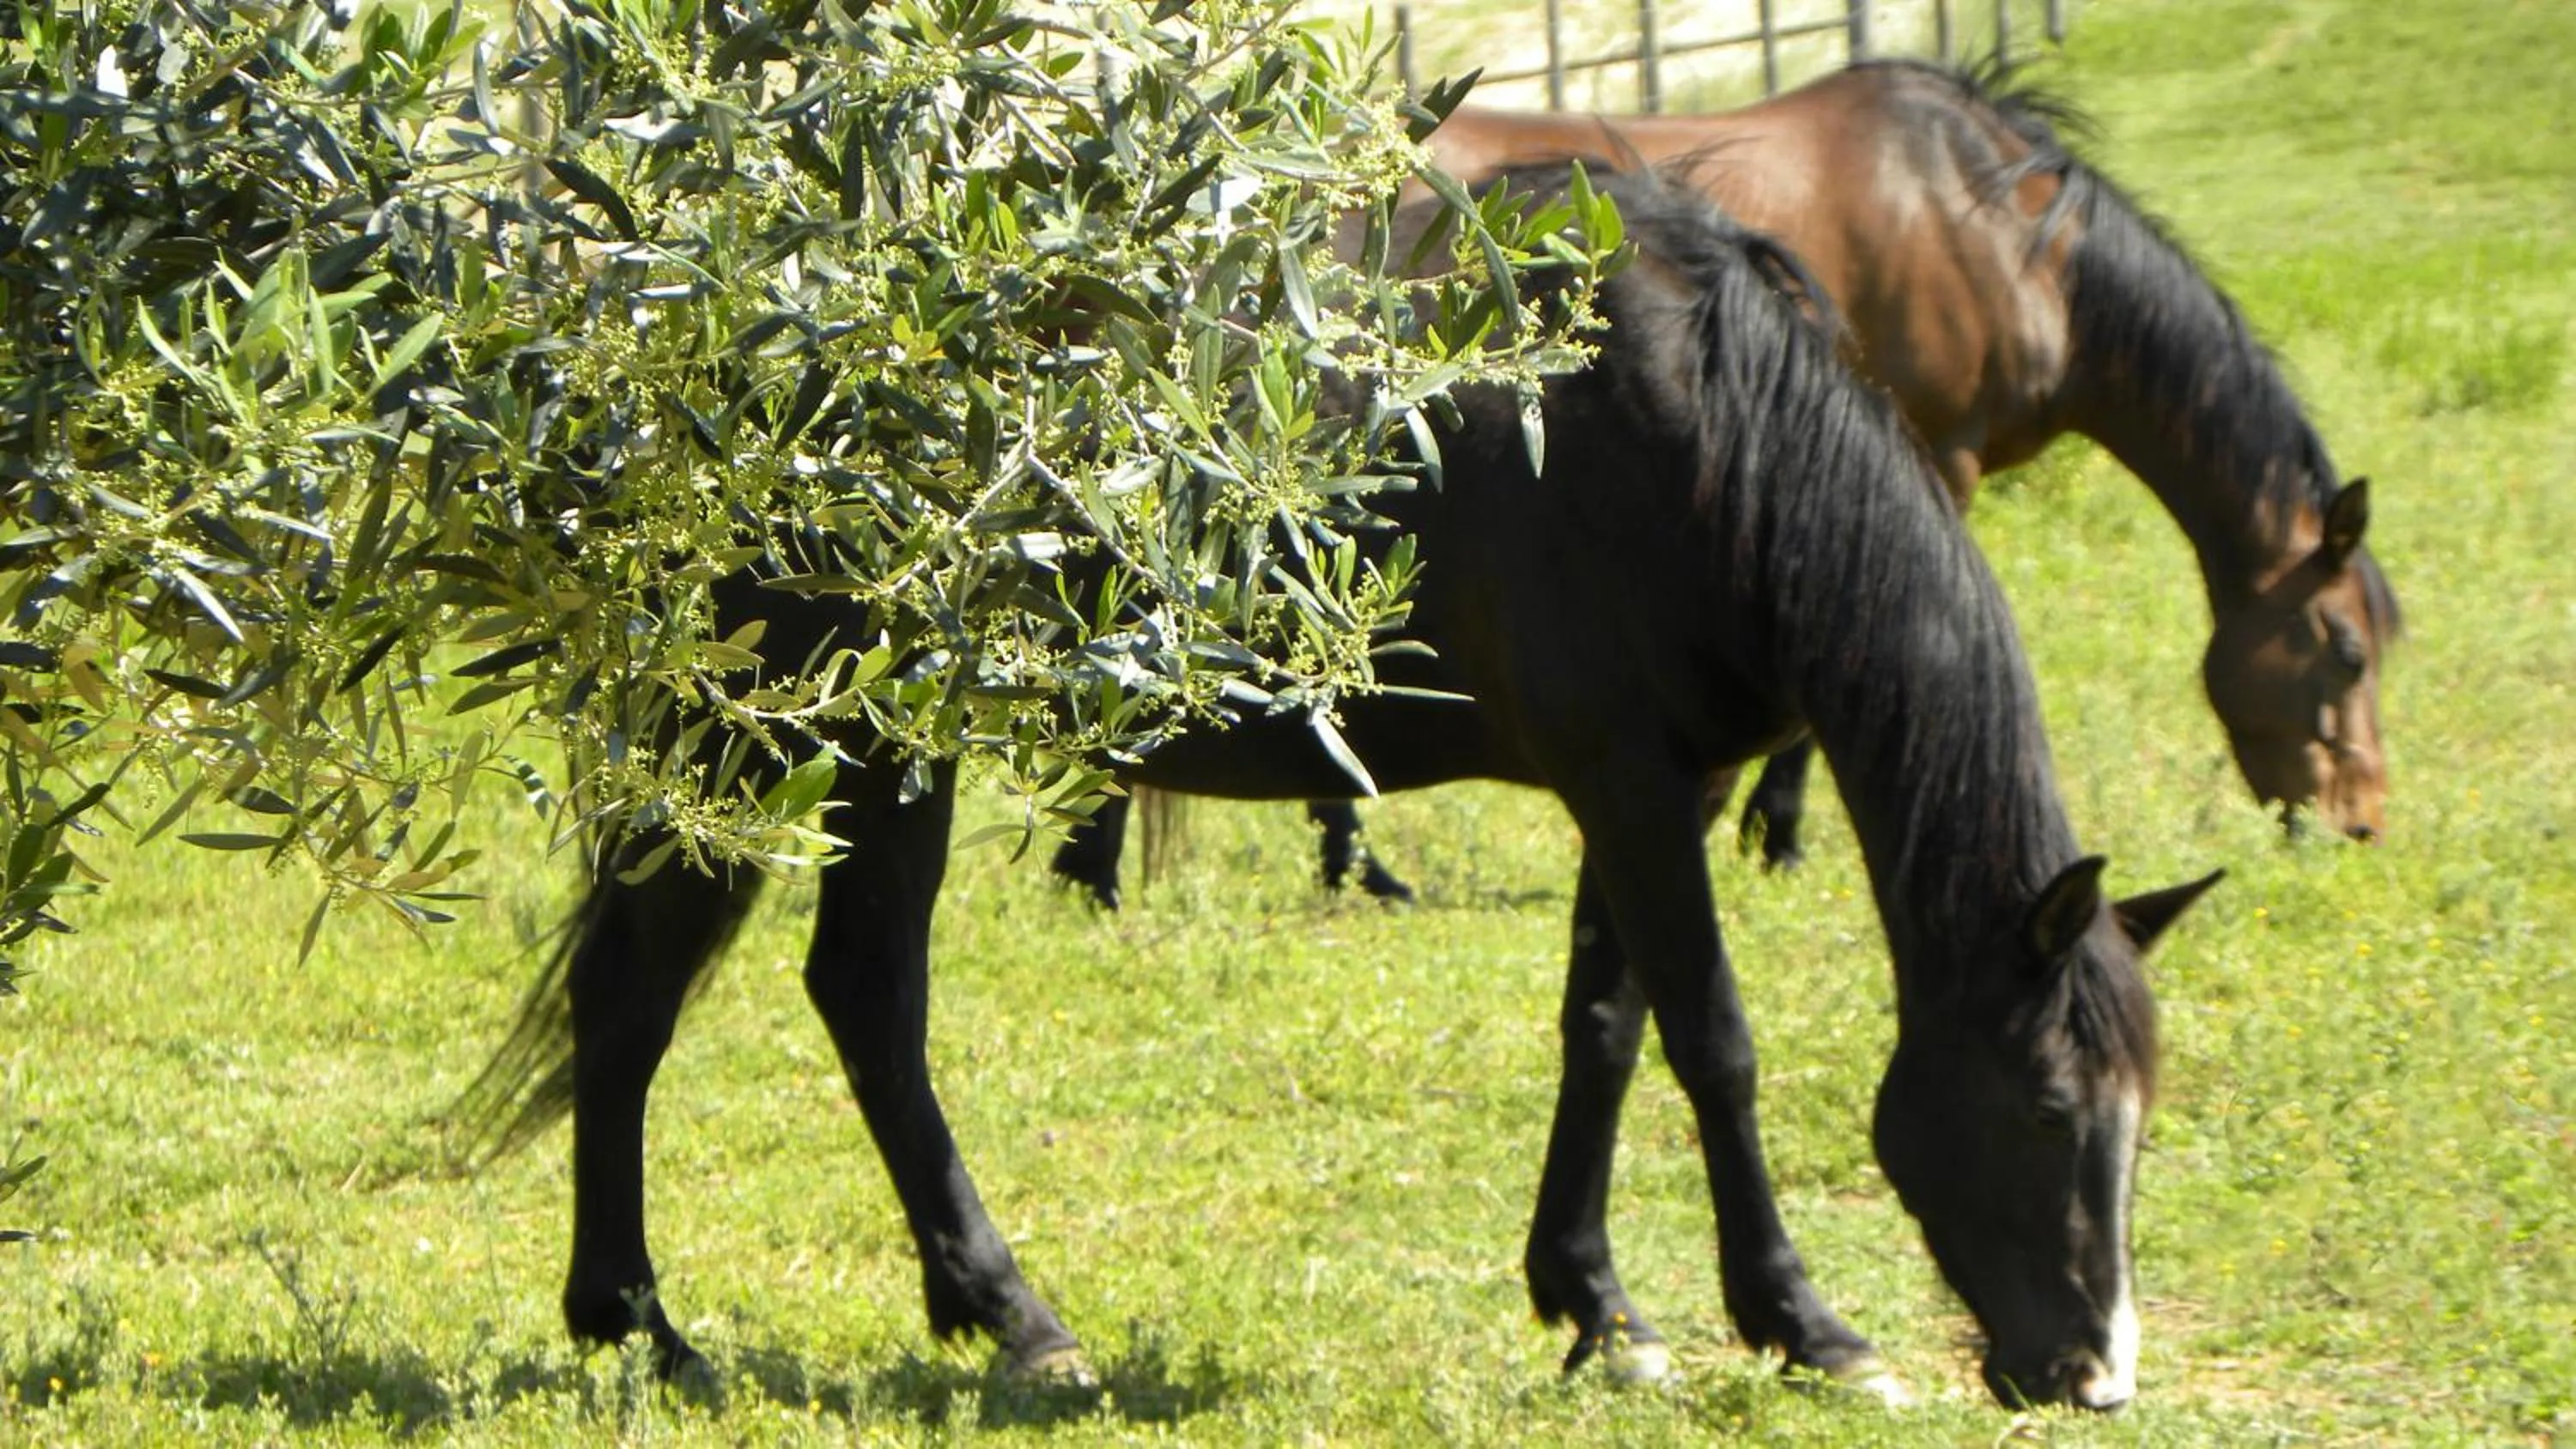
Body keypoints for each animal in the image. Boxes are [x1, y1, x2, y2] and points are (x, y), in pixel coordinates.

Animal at [463, 164, 2221, 1411]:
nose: (2094, 1377)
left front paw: (1596, 1306)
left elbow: (1607, 1027)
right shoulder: (1633, 786)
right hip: (808, 737)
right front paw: (1800, 1319)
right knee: (792, 999)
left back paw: (675, 1320)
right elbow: (1712, 1039)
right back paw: (941, 1319)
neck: (1702, 431)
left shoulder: (1652, 788)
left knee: (724, 997)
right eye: (2052, 1109)